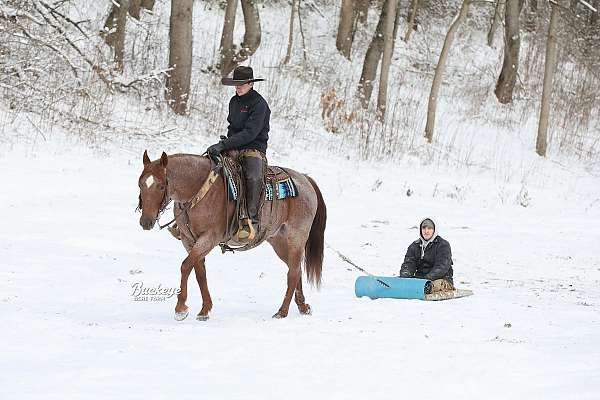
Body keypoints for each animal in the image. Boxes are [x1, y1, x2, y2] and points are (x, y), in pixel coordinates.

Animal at [138, 152, 326, 320]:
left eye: (161, 186)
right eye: (140, 184)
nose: (146, 222)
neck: (199, 191)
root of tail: (305, 179)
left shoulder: (209, 238)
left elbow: (185, 266)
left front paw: (180, 309)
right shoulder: (189, 240)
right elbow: (199, 272)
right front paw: (205, 310)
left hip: (296, 238)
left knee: (293, 273)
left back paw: (282, 312)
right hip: (278, 241)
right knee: (296, 269)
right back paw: (303, 307)